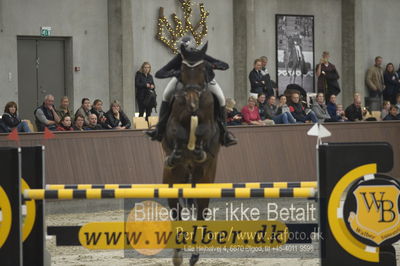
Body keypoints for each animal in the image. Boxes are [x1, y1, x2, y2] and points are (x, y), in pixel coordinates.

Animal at [161, 42, 220, 264]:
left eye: (203, 69)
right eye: (183, 71)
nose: (193, 103)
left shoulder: (209, 125)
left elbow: (203, 130)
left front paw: (198, 149)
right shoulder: (173, 123)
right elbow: (176, 131)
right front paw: (178, 151)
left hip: (204, 178)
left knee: (201, 212)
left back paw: (194, 254)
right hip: (172, 178)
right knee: (176, 212)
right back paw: (178, 254)